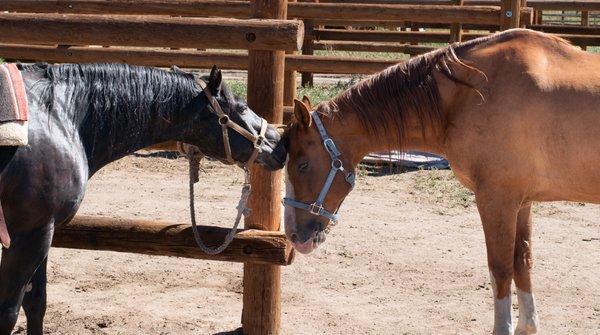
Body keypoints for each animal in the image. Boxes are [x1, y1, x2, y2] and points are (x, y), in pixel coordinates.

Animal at [0, 63, 288, 335]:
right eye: (242, 107)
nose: (279, 144)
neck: (62, 117)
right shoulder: (30, 234)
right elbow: (9, 313)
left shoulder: (46, 231)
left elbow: (36, 303)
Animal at [282, 29, 600, 335]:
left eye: (302, 164)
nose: (295, 236)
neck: (472, 92)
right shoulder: (521, 202)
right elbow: (523, 261)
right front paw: (527, 326)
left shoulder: (497, 201)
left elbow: (500, 269)